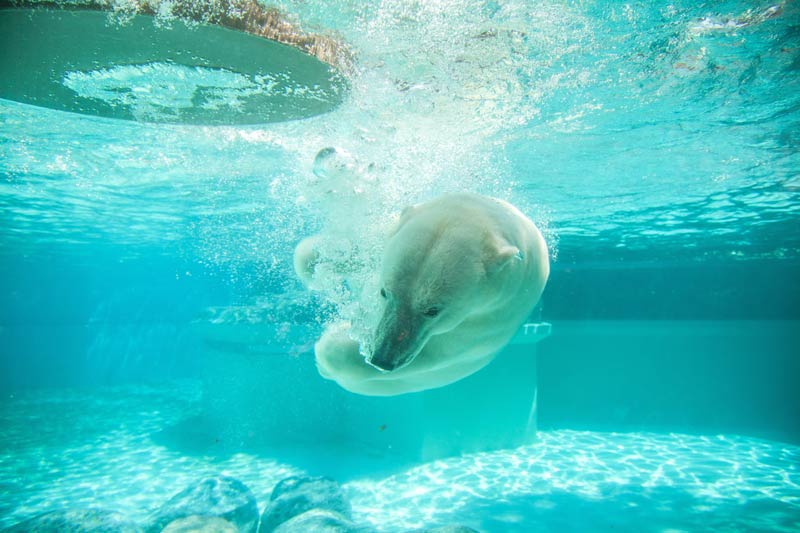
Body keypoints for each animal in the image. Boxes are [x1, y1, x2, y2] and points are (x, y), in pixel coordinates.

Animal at [298, 192, 549, 396]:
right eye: (384, 292)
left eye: (432, 310)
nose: (382, 358)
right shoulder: (388, 231)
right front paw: (317, 257)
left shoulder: (484, 324)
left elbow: (428, 357)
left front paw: (333, 343)